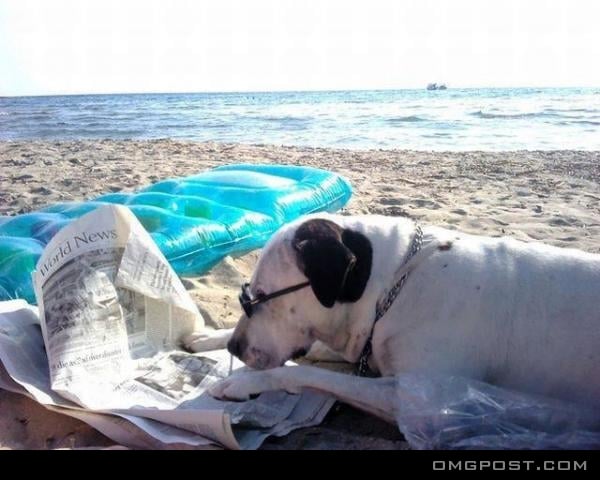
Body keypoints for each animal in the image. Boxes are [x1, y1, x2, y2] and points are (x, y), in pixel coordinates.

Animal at [185, 216, 600, 422]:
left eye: (258, 298)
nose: (236, 347)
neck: (393, 288)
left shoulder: (419, 399)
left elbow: (310, 375)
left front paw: (243, 382)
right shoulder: (362, 341)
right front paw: (209, 337)